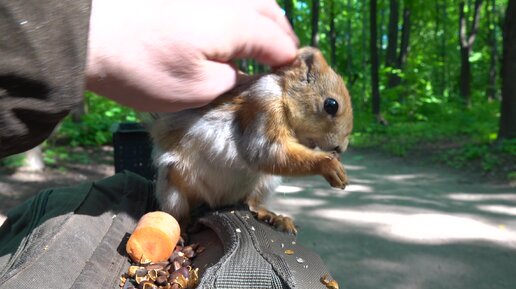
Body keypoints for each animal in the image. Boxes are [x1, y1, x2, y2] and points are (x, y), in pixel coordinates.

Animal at [147, 46, 352, 232]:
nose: (341, 148)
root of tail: (218, 202)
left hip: (265, 183)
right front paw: (328, 165)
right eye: (331, 105)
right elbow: (266, 153)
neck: (282, 92)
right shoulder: (262, 106)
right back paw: (183, 225)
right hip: (173, 184)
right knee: (177, 210)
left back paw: (273, 216)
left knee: (251, 202)